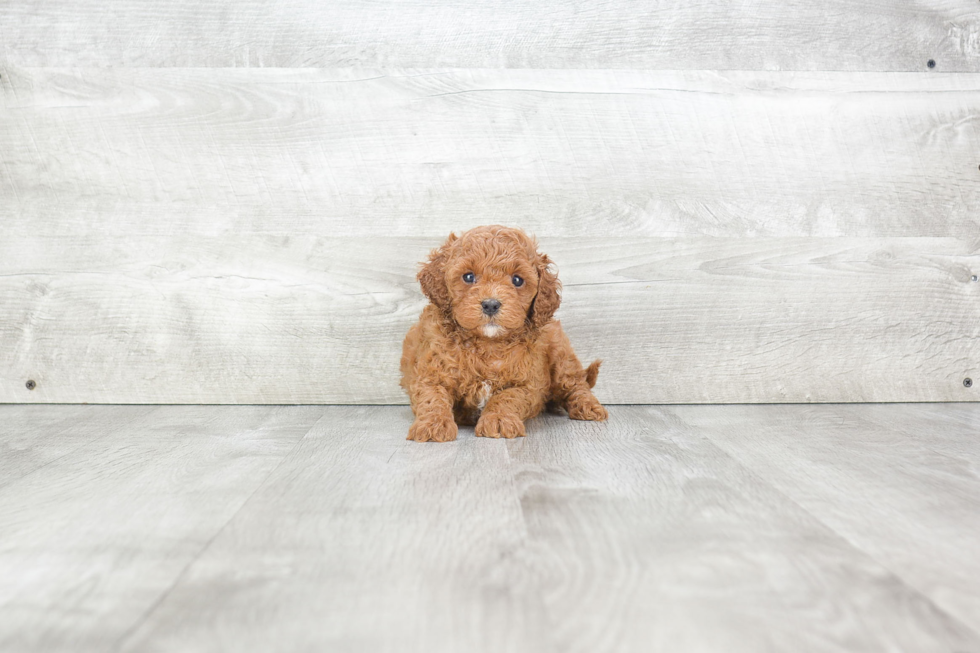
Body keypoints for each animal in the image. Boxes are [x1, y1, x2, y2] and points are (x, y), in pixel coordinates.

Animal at [398, 225, 604, 444]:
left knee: (576, 383)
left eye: (517, 280)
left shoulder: (528, 386)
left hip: (560, 351)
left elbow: (506, 398)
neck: (488, 343)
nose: (491, 304)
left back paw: (589, 407)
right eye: (468, 277)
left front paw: (498, 420)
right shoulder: (430, 374)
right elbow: (433, 397)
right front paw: (433, 424)